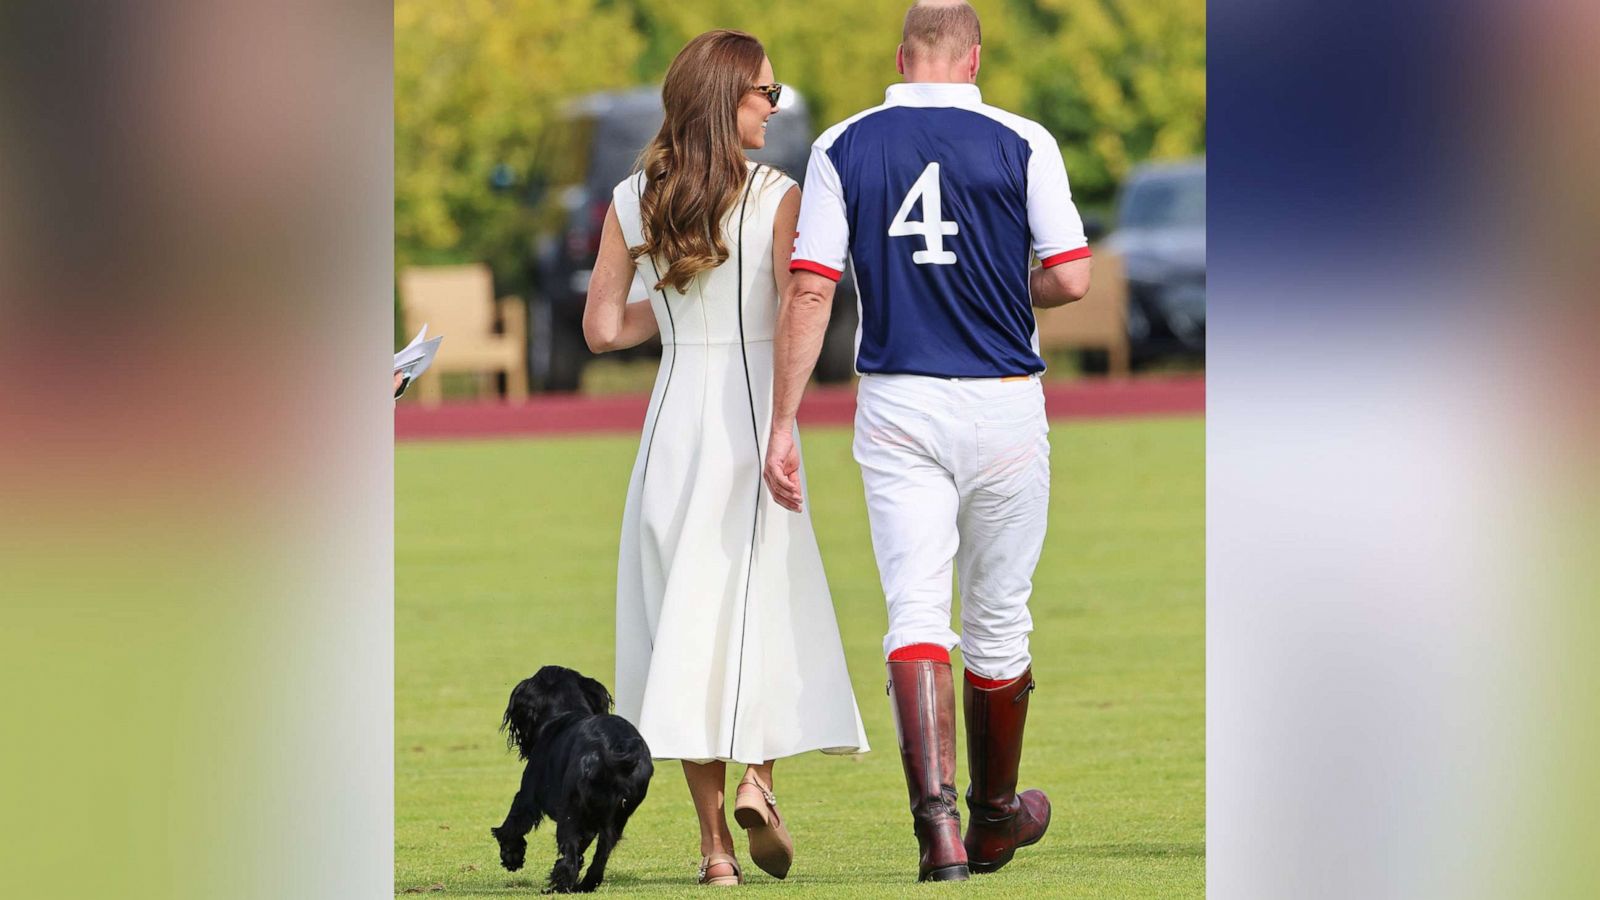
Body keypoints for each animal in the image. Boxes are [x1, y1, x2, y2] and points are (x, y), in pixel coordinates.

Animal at [492, 662, 656, 883]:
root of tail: (617, 750)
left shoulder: (528, 794)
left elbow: (514, 823)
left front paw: (512, 856)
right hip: (617, 817)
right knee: (601, 853)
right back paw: (585, 884)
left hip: (571, 810)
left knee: (569, 852)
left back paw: (559, 883)